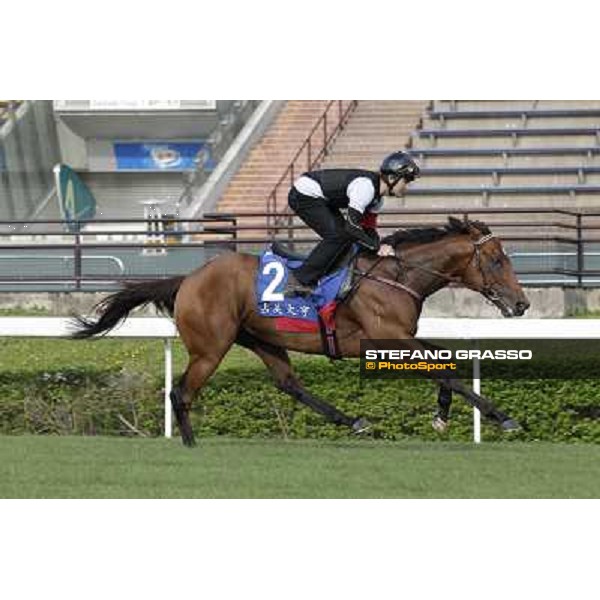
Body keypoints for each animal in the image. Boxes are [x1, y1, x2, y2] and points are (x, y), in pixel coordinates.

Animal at [71, 216, 528, 446]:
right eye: (498, 260)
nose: (522, 304)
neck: (395, 276)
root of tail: (188, 279)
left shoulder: (398, 337)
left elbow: (447, 361)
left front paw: (442, 415)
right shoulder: (385, 337)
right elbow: (443, 367)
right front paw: (503, 417)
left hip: (262, 340)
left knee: (289, 384)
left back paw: (352, 420)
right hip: (211, 348)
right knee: (181, 392)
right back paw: (191, 446)